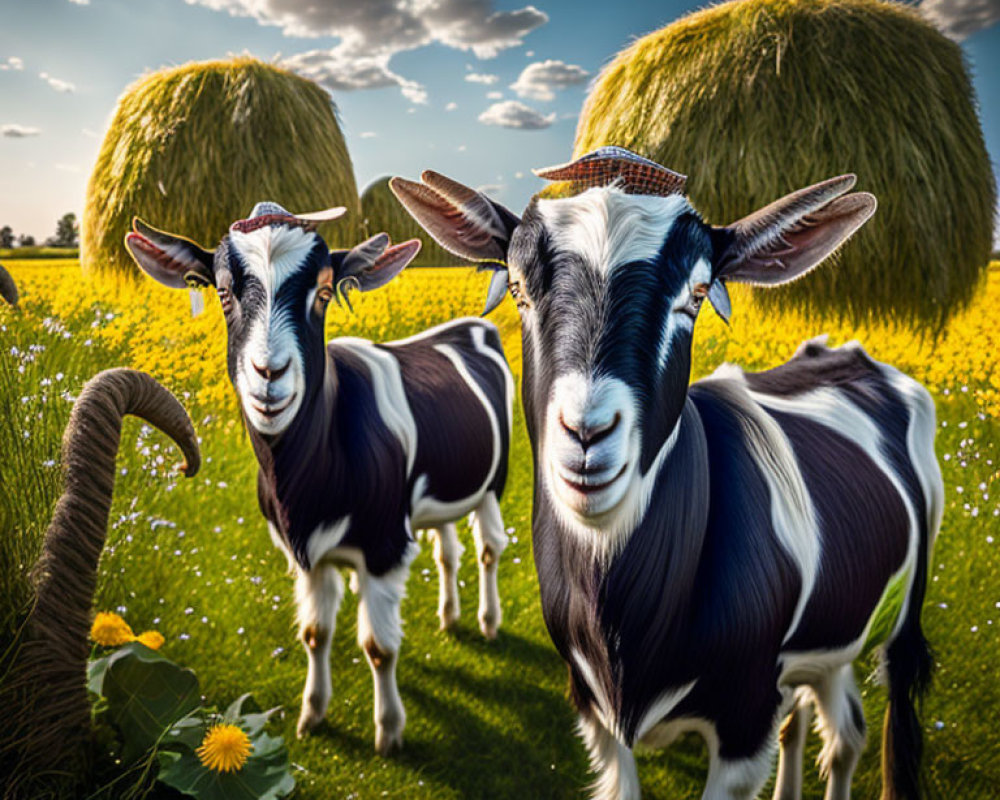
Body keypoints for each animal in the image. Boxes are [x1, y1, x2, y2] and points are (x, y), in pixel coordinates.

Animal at [126, 203, 512, 752]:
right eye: (222, 291)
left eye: (325, 292)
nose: (269, 373)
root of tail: (469, 328)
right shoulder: (307, 555)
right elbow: (315, 634)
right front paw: (313, 714)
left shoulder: (385, 547)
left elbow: (379, 647)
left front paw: (389, 730)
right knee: (448, 549)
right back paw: (450, 615)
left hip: (494, 485)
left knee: (489, 549)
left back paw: (488, 620)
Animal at [392, 147, 944, 796]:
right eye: (519, 290)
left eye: (697, 294)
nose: (587, 434)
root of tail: (854, 358)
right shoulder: (593, 710)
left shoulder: (743, 724)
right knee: (834, 727)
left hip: (902, 622)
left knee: (869, 730)